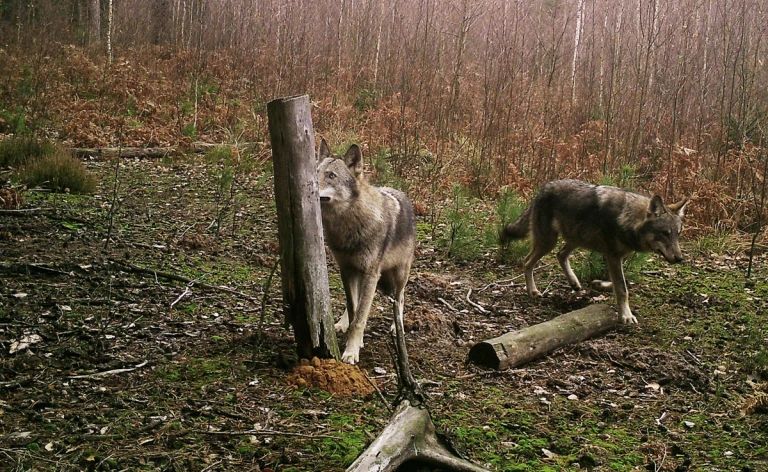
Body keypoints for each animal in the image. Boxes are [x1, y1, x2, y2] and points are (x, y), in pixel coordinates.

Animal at [316, 138, 416, 364]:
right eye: (315, 171)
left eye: (331, 175)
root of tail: (401, 192)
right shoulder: (346, 269)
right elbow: (354, 309)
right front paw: (352, 338)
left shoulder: (371, 274)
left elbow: (361, 316)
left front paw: (351, 351)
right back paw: (341, 323)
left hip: (399, 275)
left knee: (400, 298)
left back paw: (397, 327)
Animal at [498, 180, 688, 324]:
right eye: (665, 233)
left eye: (678, 234)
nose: (679, 259)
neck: (626, 218)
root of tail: (544, 187)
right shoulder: (613, 256)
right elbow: (622, 288)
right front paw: (626, 316)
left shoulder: (616, 257)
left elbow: (622, 283)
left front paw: (599, 284)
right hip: (548, 242)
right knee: (527, 262)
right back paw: (533, 291)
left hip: (576, 239)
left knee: (561, 255)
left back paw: (574, 283)